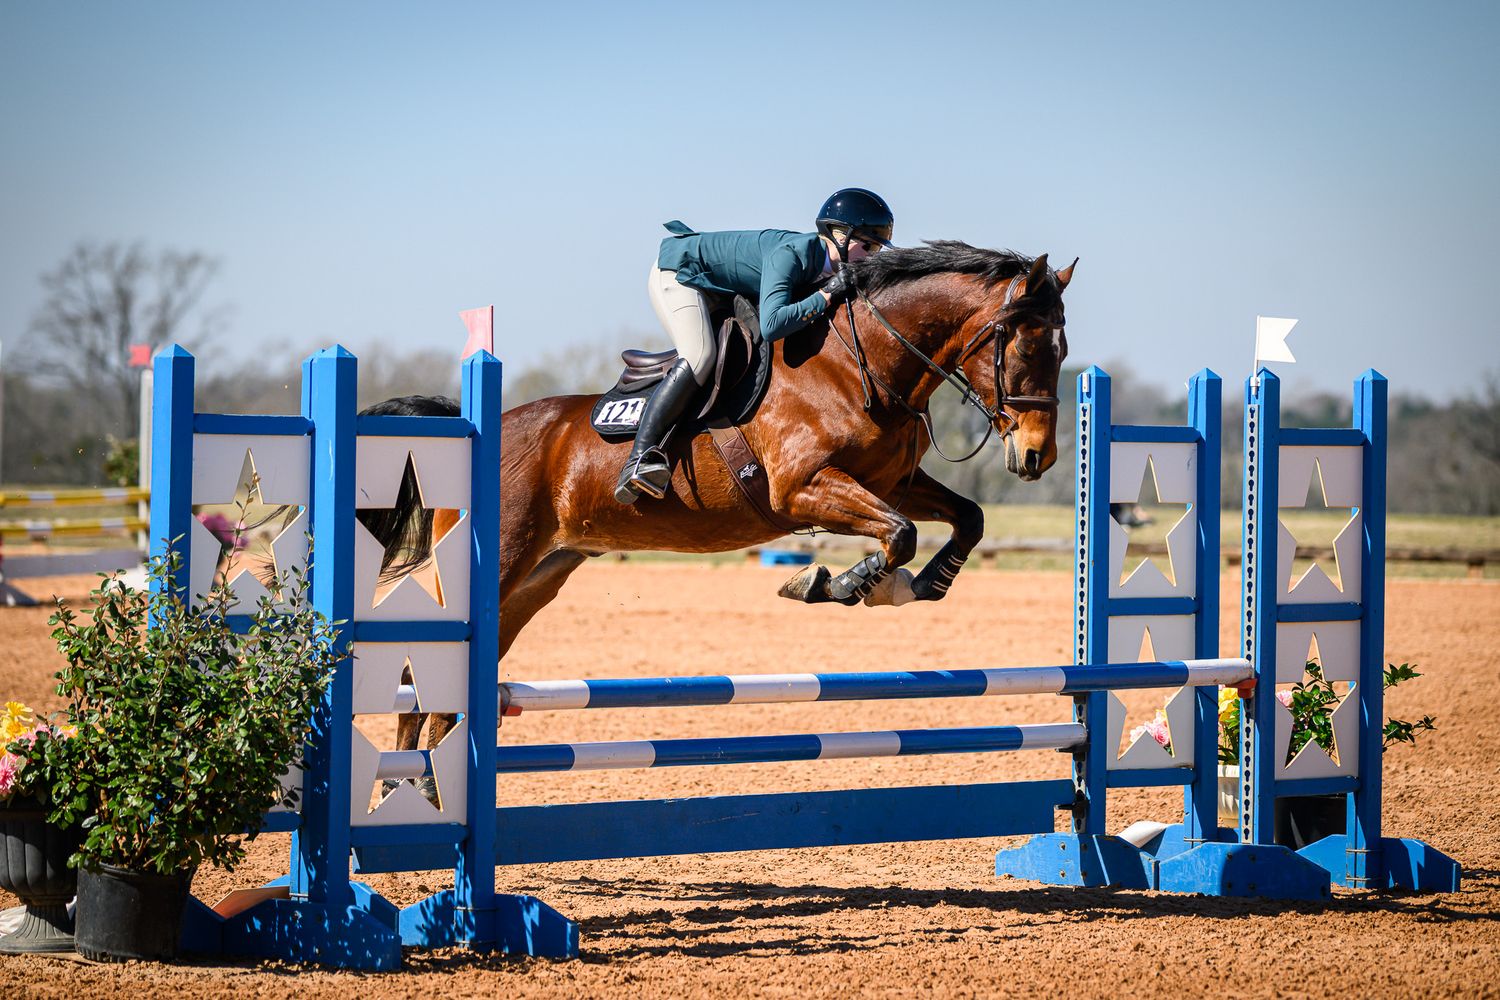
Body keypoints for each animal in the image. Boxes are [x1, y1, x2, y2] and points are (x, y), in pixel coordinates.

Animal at [359, 241, 1074, 788]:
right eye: (1025, 347)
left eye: (1063, 353)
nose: (1037, 456)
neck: (859, 363)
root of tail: (473, 430)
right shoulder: (802, 490)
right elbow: (898, 534)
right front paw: (834, 582)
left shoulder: (892, 482)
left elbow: (965, 519)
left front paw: (919, 584)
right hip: (495, 565)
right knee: (423, 676)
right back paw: (415, 787)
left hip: (537, 578)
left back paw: (417, 783)